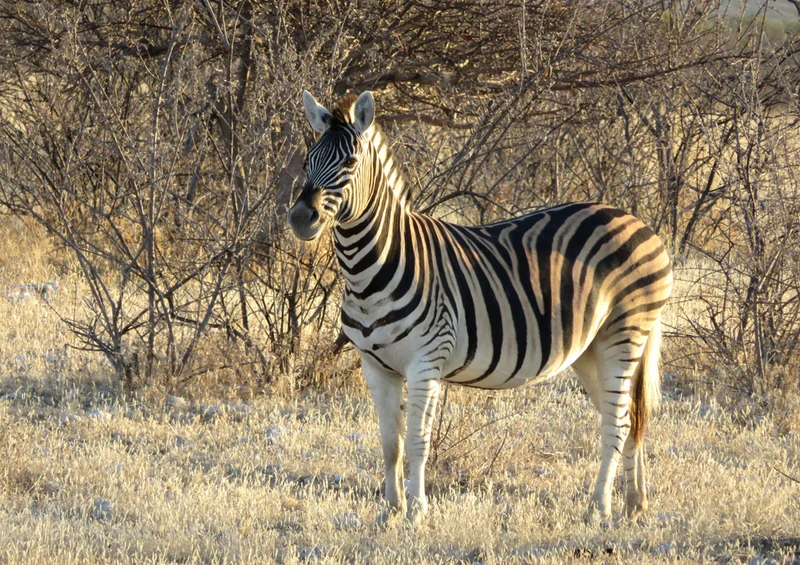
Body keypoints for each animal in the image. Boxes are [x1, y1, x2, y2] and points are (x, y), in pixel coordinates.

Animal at [287, 90, 673, 524]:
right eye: (307, 160)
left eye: (350, 163)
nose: (300, 218)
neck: (371, 269)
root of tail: (637, 221)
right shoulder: (376, 367)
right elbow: (390, 443)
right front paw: (389, 512)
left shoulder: (426, 362)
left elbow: (417, 440)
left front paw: (416, 512)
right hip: (591, 349)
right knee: (623, 416)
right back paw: (634, 504)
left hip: (623, 334)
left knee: (618, 424)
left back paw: (598, 508)